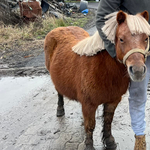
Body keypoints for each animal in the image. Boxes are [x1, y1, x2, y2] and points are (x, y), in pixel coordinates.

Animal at [44, 10, 149, 150]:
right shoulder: (89, 105)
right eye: (121, 39)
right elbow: (91, 126)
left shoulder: (112, 101)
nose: (137, 71)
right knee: (59, 92)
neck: (103, 69)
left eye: (146, 38)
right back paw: (60, 110)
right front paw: (89, 145)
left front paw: (109, 141)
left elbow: (108, 121)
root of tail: (59, 28)